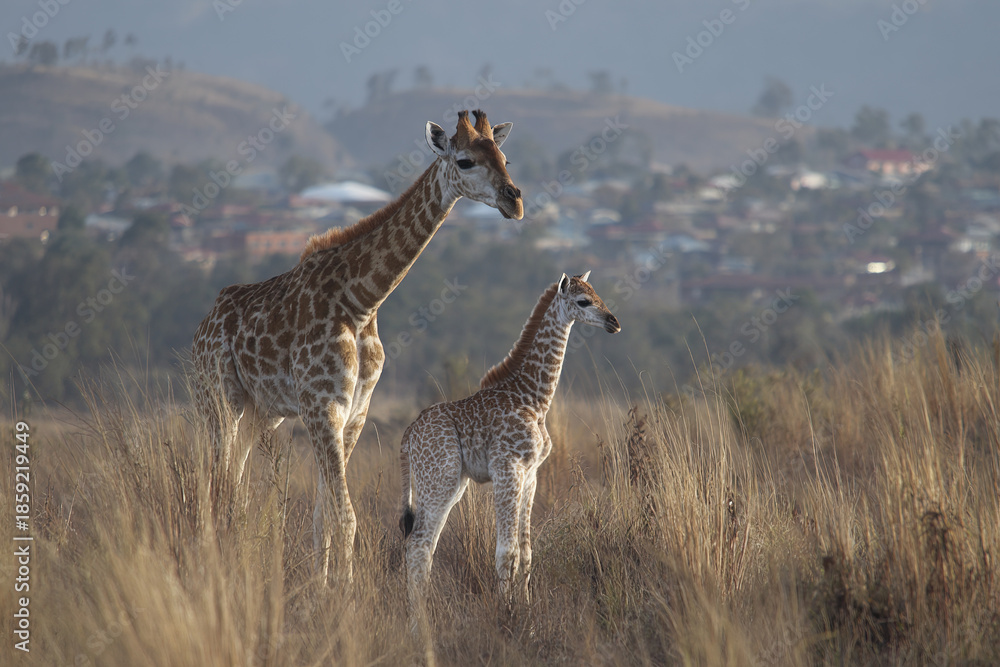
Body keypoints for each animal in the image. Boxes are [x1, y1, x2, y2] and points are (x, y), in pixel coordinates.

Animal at [191, 110, 523, 585]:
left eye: (504, 157)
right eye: (464, 161)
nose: (514, 201)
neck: (362, 301)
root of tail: (202, 325)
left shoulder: (355, 413)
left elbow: (324, 515)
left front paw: (323, 588)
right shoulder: (322, 407)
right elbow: (344, 515)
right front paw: (344, 595)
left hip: (261, 412)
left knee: (232, 483)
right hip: (218, 400)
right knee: (214, 483)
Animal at [398, 272, 620, 630]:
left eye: (597, 294)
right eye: (583, 301)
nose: (614, 322)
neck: (534, 399)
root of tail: (408, 435)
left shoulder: (531, 474)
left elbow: (527, 553)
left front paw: (527, 614)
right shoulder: (507, 469)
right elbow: (507, 552)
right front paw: (508, 618)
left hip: (451, 485)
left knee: (425, 547)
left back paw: (422, 618)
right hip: (438, 479)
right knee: (416, 546)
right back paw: (419, 626)